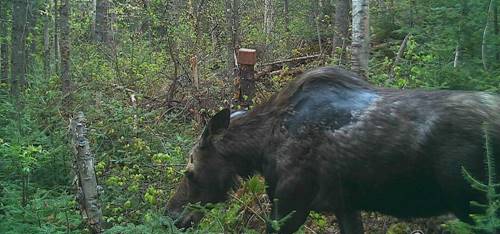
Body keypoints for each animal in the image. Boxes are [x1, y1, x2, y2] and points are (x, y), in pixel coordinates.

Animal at [167, 66, 500, 233]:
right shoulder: (345, 204)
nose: (171, 216)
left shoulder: (291, 204)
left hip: (475, 204)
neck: (262, 148)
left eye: (189, 172)